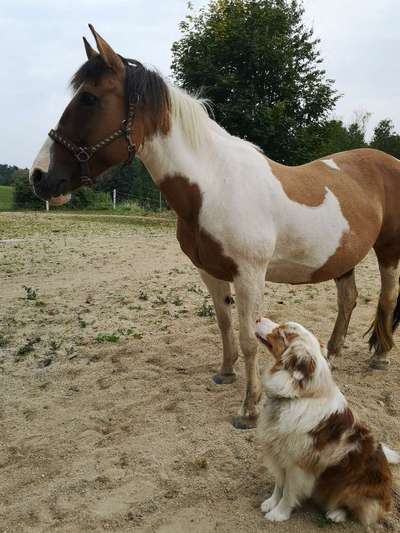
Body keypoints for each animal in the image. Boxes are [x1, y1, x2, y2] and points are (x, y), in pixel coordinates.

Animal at [29, 27, 400, 430]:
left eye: (90, 99)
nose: (39, 177)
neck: (214, 185)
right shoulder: (209, 271)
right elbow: (223, 324)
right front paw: (225, 373)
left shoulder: (250, 274)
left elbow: (250, 337)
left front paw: (249, 409)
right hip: (342, 258)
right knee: (348, 300)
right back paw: (331, 357)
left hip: (389, 250)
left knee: (387, 297)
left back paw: (379, 358)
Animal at [255, 316, 398, 528]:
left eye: (283, 332)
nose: (257, 318)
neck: (297, 396)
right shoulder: (278, 452)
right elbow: (279, 483)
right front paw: (271, 502)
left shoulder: (298, 463)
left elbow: (288, 491)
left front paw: (279, 513)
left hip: (351, 486)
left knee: (359, 510)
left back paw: (336, 514)